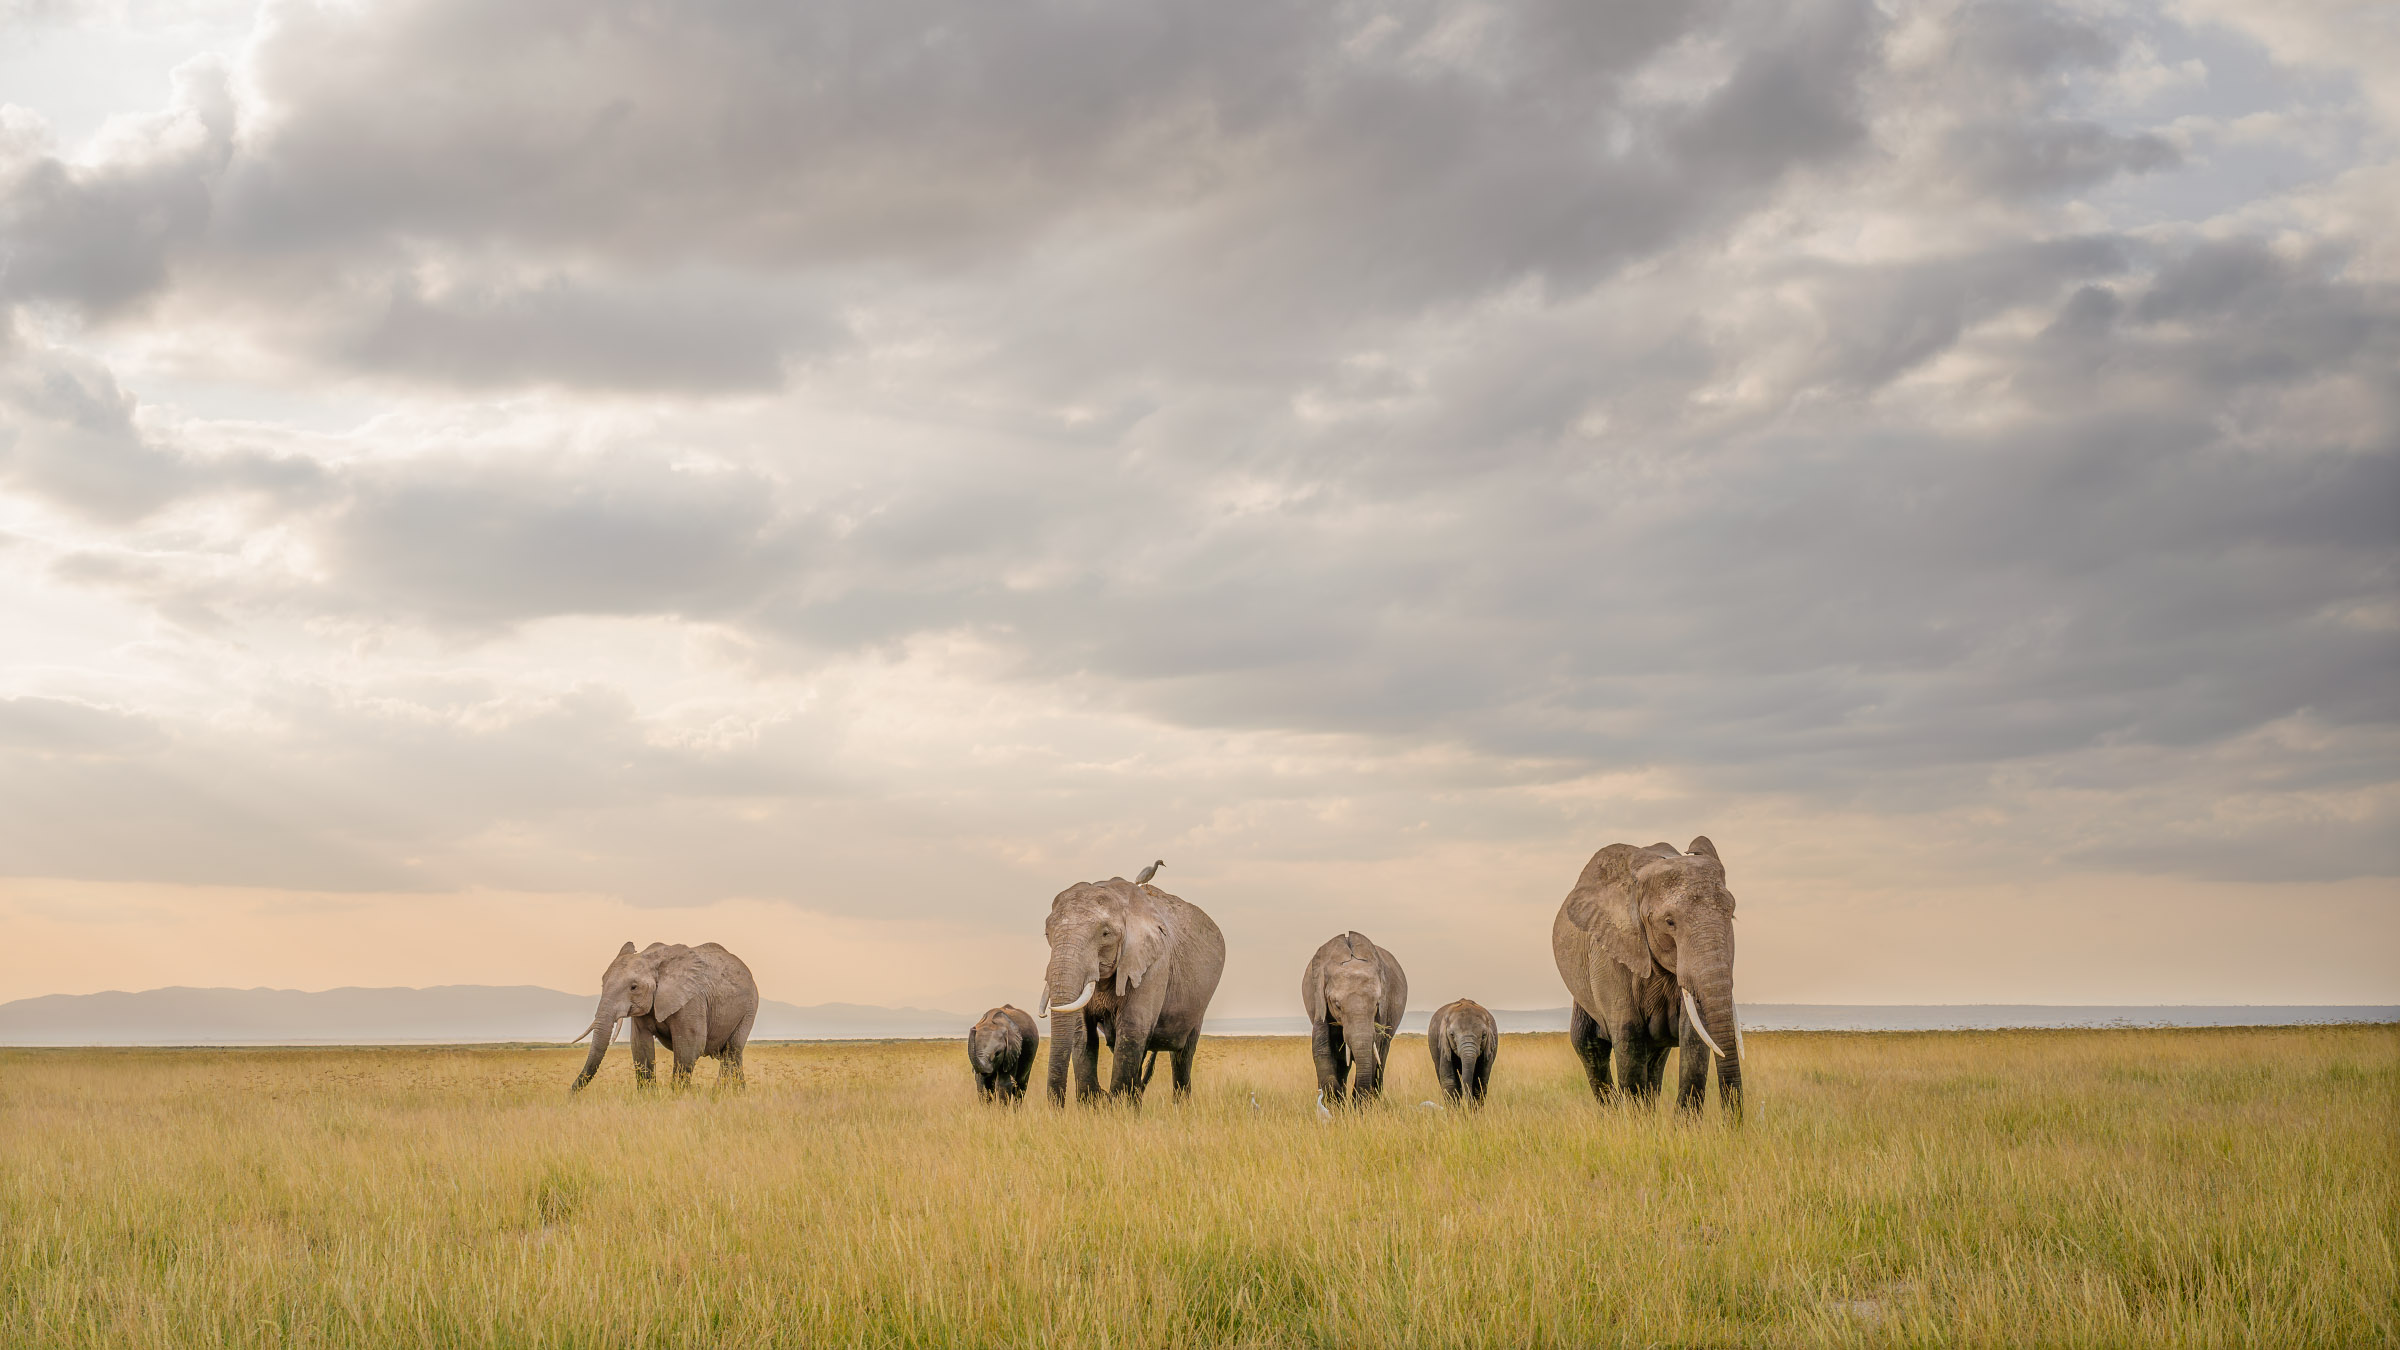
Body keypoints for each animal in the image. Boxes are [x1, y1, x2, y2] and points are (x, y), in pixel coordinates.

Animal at [568, 941, 759, 1093]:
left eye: (634, 987)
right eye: (602, 983)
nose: (569, 1095)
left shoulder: (691, 1000)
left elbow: (689, 1046)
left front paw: (677, 1096)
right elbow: (640, 1046)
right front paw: (648, 1097)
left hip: (749, 1008)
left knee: (732, 1050)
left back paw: (721, 1093)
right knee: (733, 1054)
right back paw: (738, 1093)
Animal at [1039, 875, 1226, 1106]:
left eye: (1105, 934)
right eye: (1047, 934)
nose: (1058, 1108)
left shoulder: (1154, 963)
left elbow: (1131, 1029)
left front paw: (1116, 1106)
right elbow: (1082, 1032)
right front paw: (1094, 1104)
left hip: (1199, 1002)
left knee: (1183, 1054)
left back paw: (1179, 1107)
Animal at [1302, 931, 1407, 1105]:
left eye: (1377, 1004)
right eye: (1337, 1005)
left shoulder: (1381, 1012)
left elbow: (1372, 1051)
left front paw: (1359, 1106)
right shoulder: (1319, 1001)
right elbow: (1321, 1049)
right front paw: (1335, 1103)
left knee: (1381, 1057)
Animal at [1551, 836, 1742, 1117]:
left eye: (1731, 915)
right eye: (1669, 922)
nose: (1734, 1123)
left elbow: (1694, 1037)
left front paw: (1682, 1126)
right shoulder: (1608, 954)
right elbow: (1628, 1037)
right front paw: (1635, 1122)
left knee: (1655, 1058)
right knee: (1589, 1046)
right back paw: (1613, 1113)